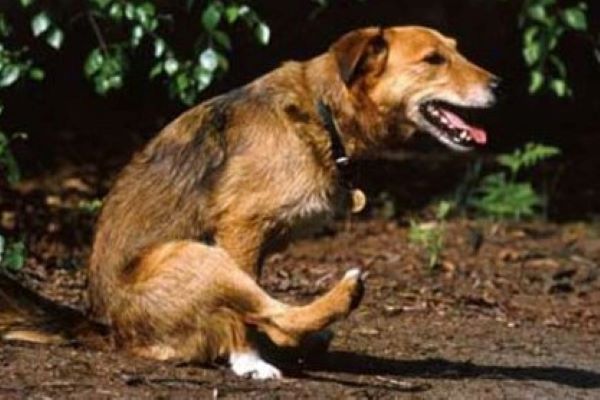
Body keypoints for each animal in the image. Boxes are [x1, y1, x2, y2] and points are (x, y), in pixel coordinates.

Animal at [0, 25, 496, 378]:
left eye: (455, 51)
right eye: (433, 60)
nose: (499, 85)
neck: (322, 113)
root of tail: (106, 329)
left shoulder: (258, 244)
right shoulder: (241, 228)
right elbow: (252, 317)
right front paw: (249, 361)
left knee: (273, 316)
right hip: (195, 255)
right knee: (268, 312)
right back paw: (336, 301)